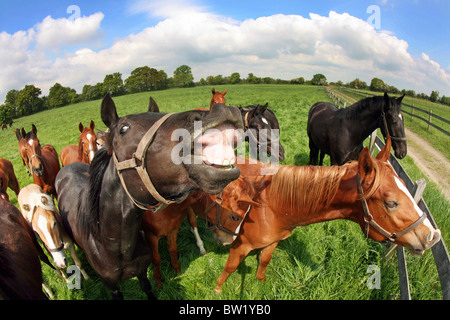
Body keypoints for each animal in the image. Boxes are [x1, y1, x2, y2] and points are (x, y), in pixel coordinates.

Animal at [210, 139, 440, 294]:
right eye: (391, 203)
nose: (432, 236)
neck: (272, 205)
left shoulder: (272, 241)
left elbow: (264, 262)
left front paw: (261, 284)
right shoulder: (240, 245)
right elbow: (230, 267)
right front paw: (218, 289)